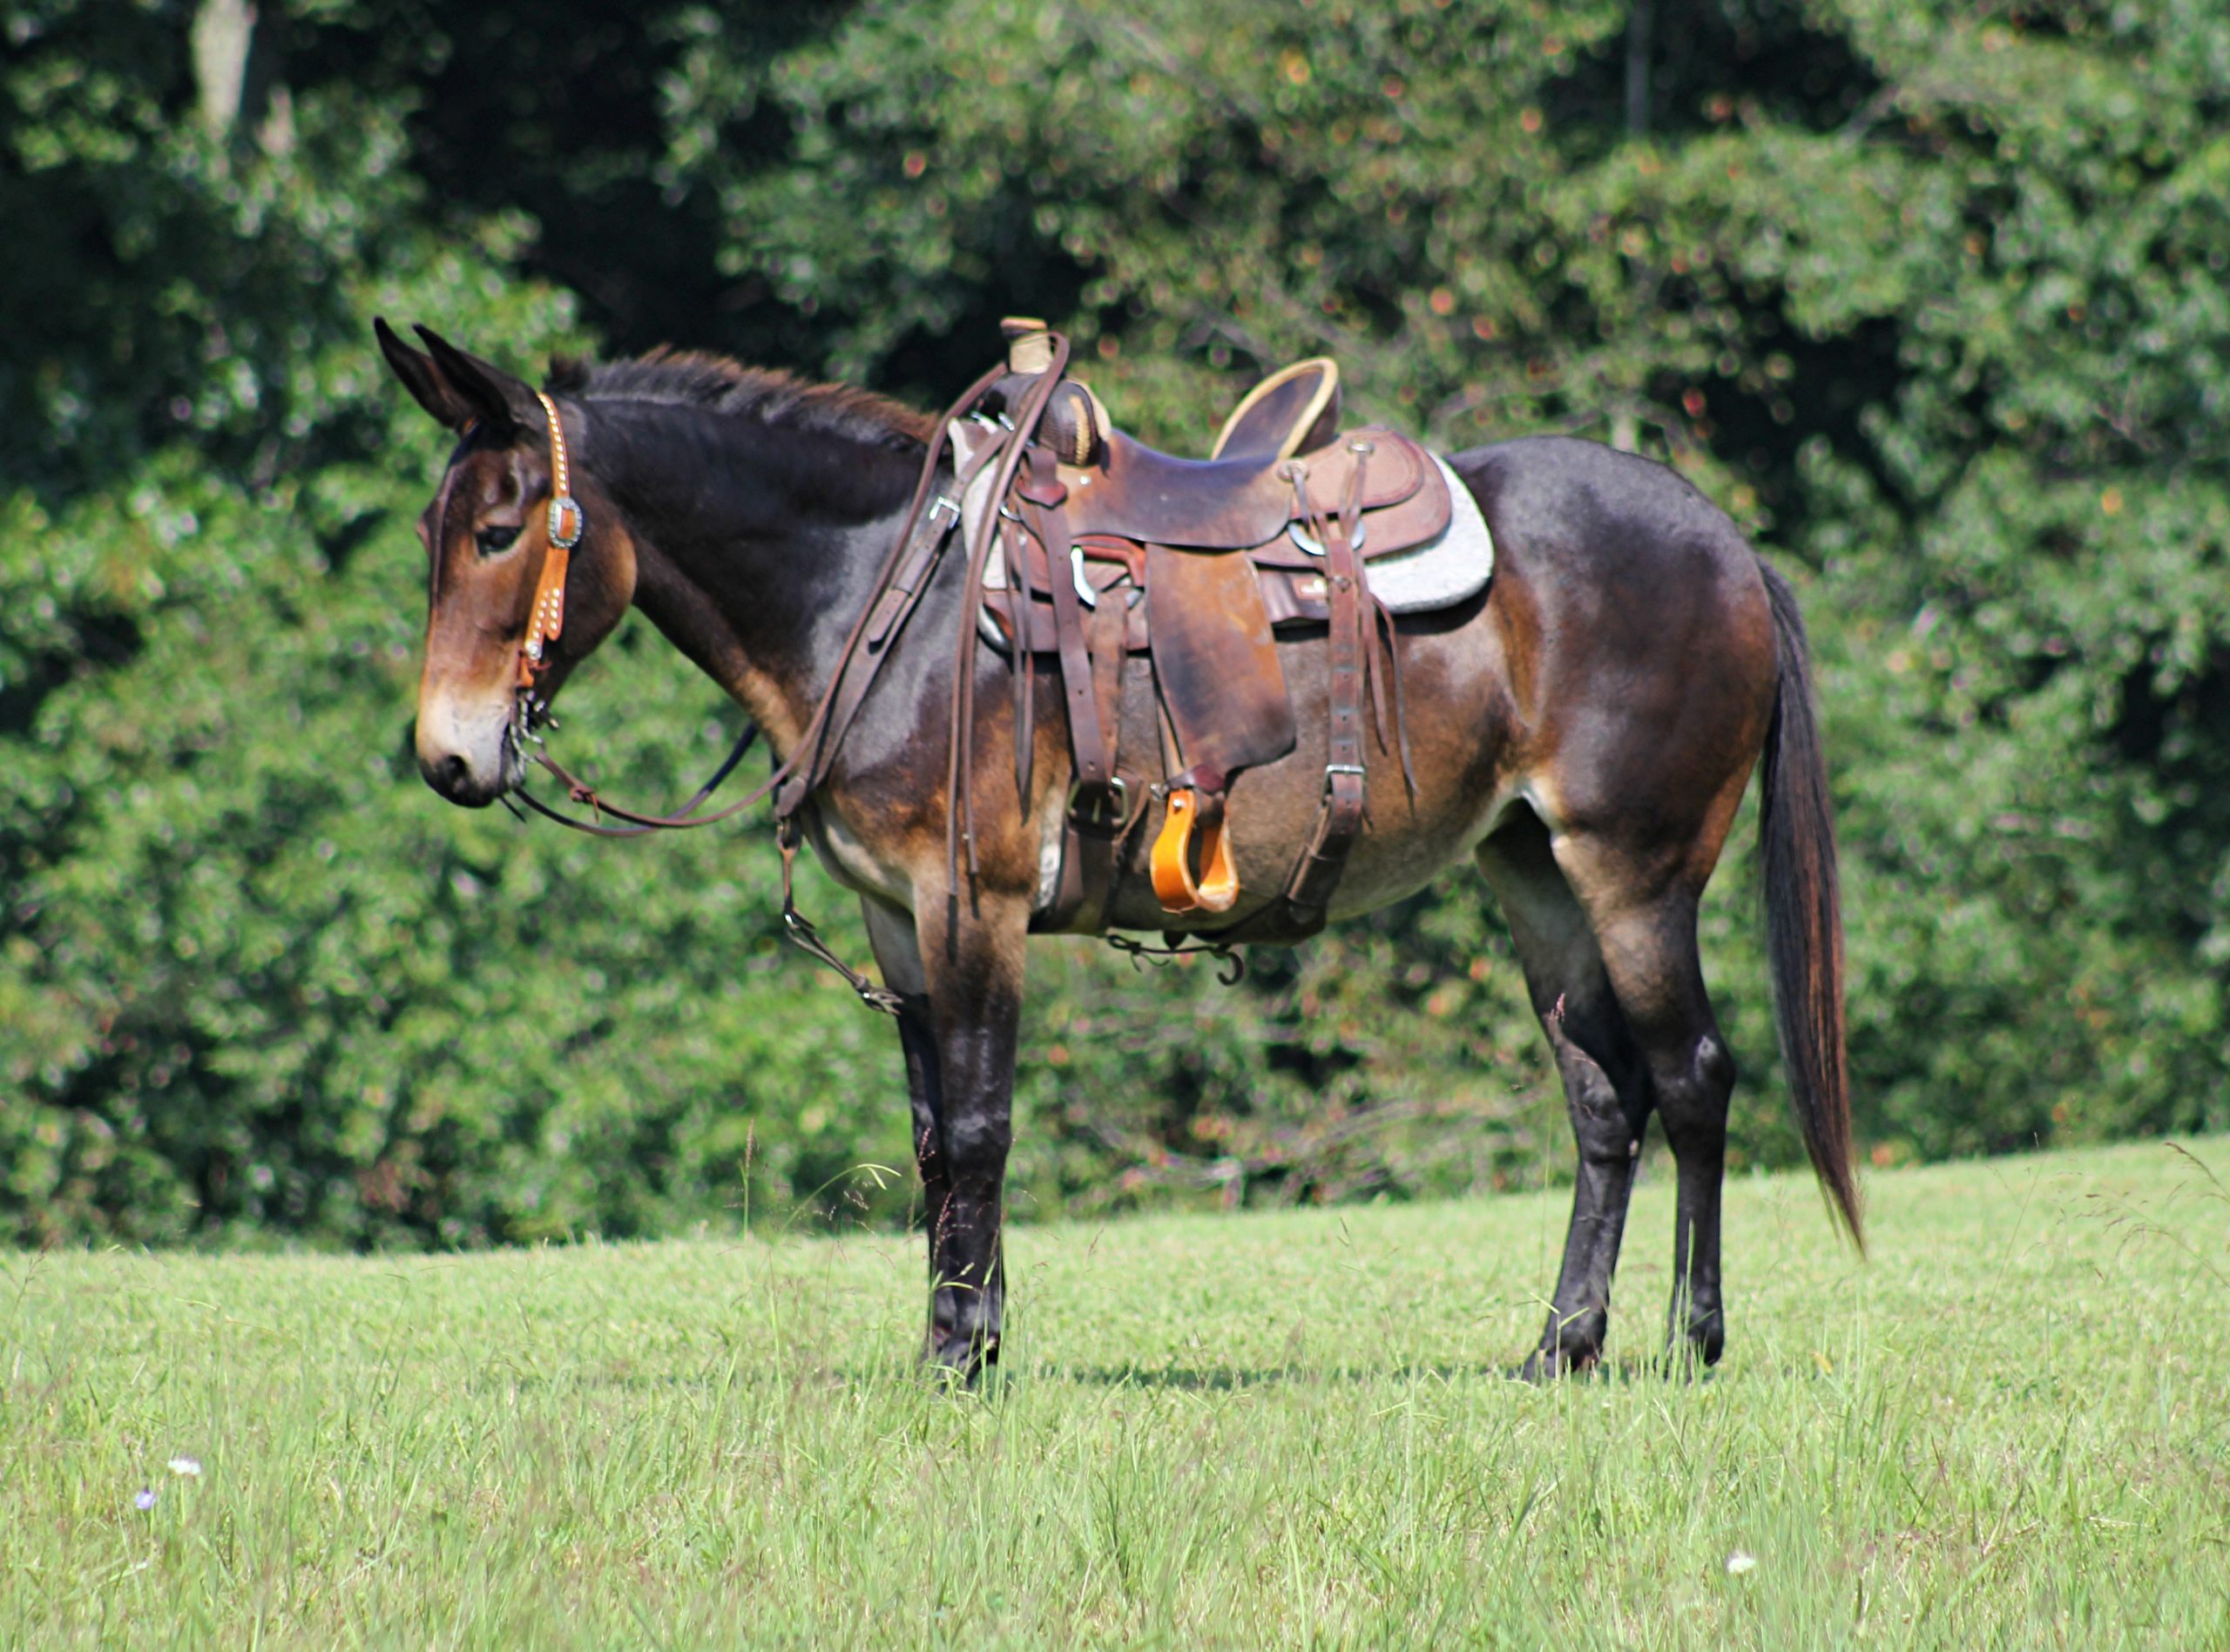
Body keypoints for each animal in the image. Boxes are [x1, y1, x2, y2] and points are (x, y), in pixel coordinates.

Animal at [375, 318, 1860, 1380]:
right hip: (1534, 875)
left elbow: (981, 1128)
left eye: (500, 531)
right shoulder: (894, 922)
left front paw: (965, 1358)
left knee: (1695, 1081)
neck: (886, 601)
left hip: (1636, 873)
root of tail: (1727, 542)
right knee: (1605, 1100)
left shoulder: (969, 901)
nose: (448, 758)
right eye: (430, 534)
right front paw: (953, 1336)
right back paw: (1564, 1346)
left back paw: (1691, 1344)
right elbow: (932, 1138)